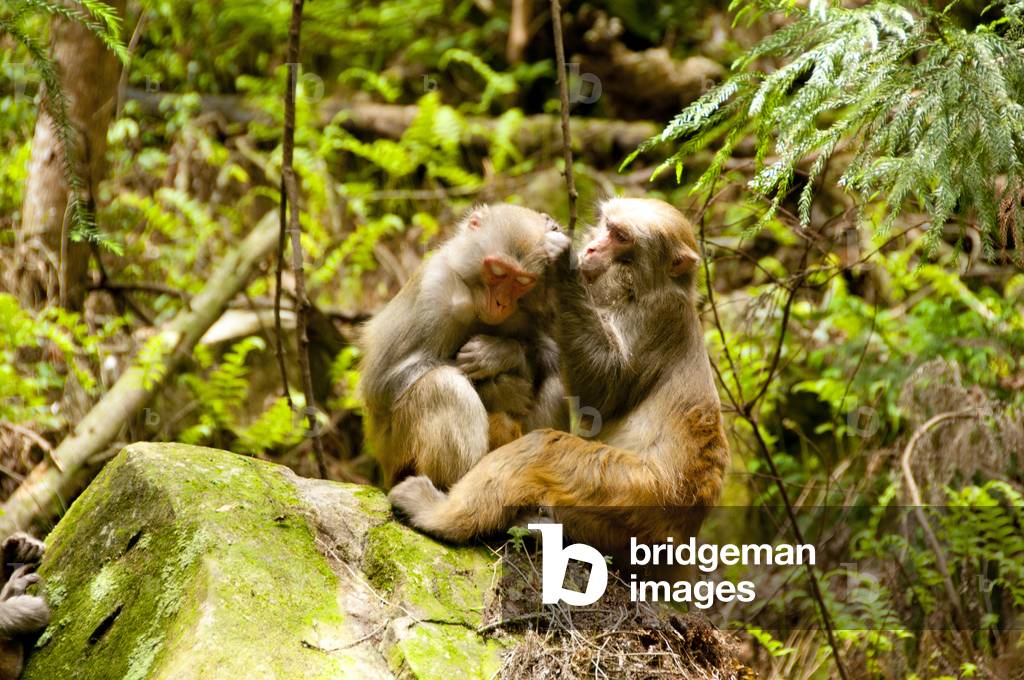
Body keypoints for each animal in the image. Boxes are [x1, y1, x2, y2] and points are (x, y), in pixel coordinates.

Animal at [359, 203, 571, 489]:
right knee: (443, 386)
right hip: (398, 455)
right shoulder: (434, 289)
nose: (501, 303)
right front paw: (501, 388)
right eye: (498, 272)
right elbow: (380, 386)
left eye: (522, 281)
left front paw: (502, 353)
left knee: (554, 380)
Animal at [388, 197, 730, 570]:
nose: (590, 248)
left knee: (544, 449)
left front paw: (563, 263)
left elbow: (604, 390)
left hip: (638, 495)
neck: (639, 290)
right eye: (607, 226)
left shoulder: (659, 315)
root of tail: (684, 532)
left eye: (621, 237)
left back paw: (441, 516)